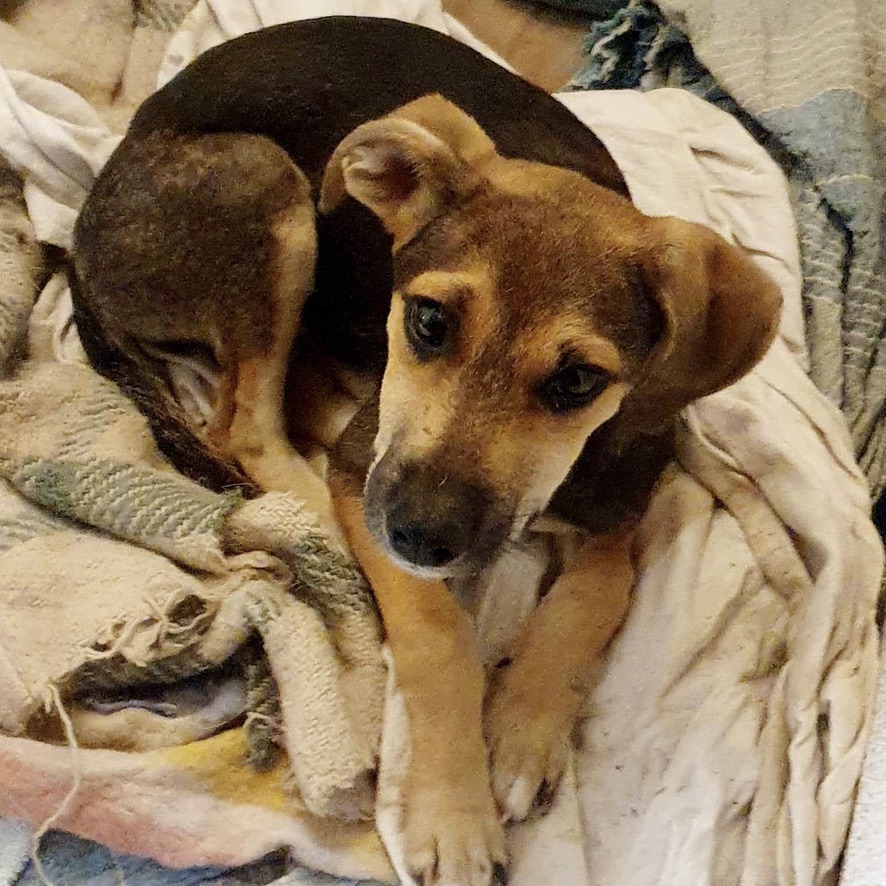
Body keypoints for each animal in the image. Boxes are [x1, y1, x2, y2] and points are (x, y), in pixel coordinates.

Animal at [71, 15, 784, 886]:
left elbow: (594, 596)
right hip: (267, 190)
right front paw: (455, 815)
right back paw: (314, 523)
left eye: (579, 381)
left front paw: (523, 734)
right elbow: (439, 636)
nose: (419, 534)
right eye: (429, 322)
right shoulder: (376, 480)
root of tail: (92, 208)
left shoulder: (622, 504)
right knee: (242, 426)